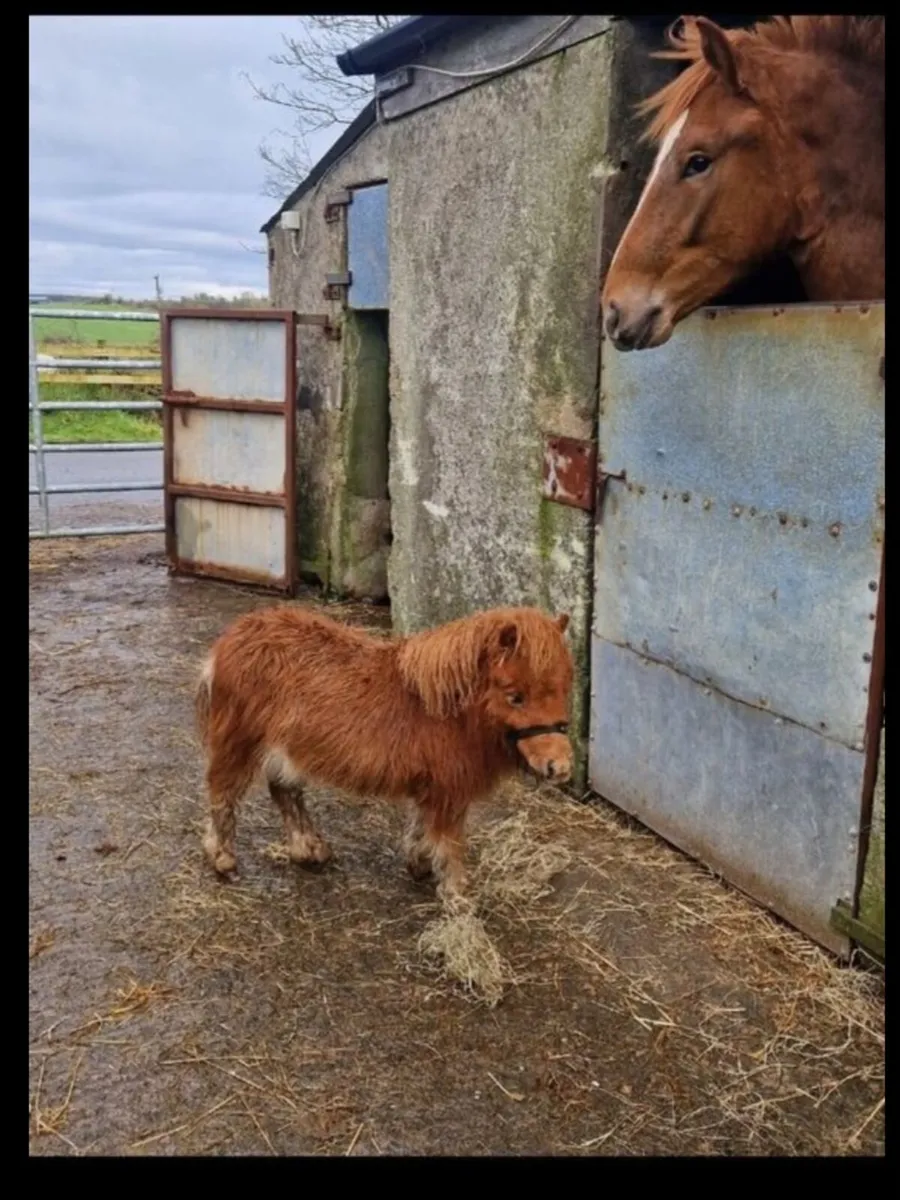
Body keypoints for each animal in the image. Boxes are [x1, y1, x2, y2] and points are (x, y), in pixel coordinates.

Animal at [195, 604, 574, 909]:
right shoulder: (448, 793)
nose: (560, 768)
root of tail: (229, 641)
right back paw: (224, 860)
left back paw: (310, 850)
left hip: (286, 750)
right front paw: (458, 899)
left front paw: (420, 865)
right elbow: (450, 845)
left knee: (285, 792)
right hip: (239, 743)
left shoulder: (433, 789)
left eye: (563, 689)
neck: (441, 709)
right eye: (515, 696)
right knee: (223, 793)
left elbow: (422, 829)